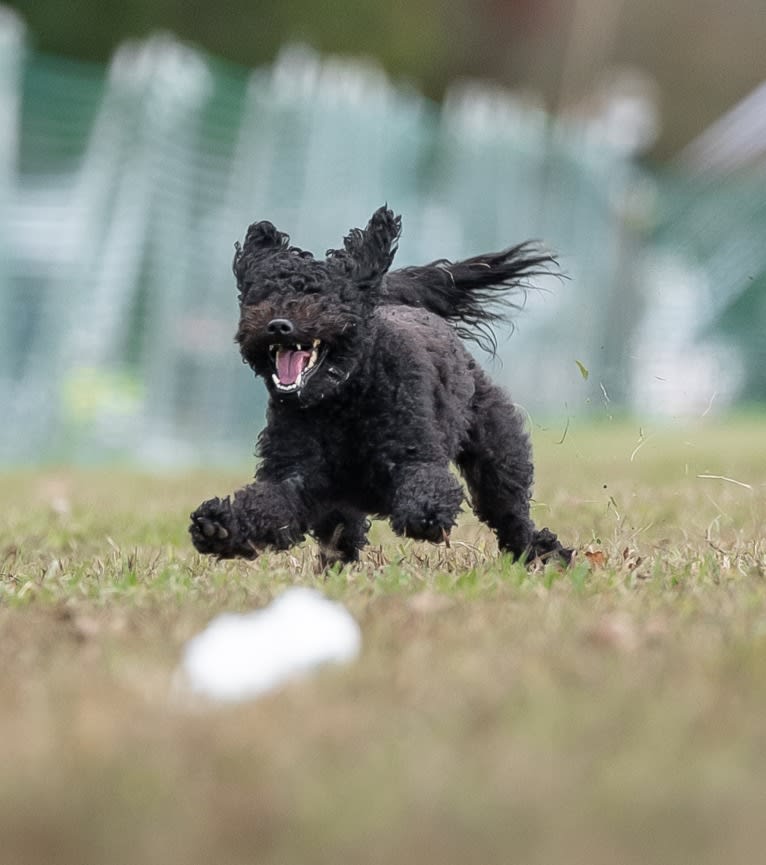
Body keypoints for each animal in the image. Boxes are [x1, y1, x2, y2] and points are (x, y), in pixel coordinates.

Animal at [191, 203, 572, 568]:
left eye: (324, 297)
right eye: (261, 295)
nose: (278, 325)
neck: (341, 400)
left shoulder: (411, 453)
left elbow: (427, 483)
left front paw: (426, 513)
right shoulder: (293, 476)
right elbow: (267, 505)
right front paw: (219, 527)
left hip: (495, 446)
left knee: (509, 510)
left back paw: (543, 553)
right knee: (342, 538)